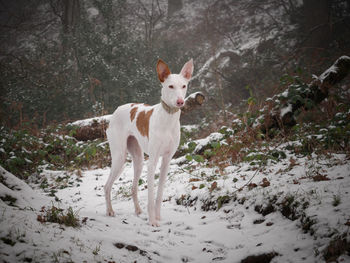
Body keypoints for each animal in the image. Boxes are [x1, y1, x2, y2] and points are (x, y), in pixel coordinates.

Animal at [104, 59, 194, 227]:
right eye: (170, 86)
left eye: (184, 86)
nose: (180, 102)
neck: (167, 120)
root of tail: (118, 109)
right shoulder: (152, 162)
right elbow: (151, 196)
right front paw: (152, 221)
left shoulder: (166, 161)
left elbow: (159, 194)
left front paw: (158, 217)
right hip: (119, 157)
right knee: (107, 186)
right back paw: (110, 211)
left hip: (138, 160)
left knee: (133, 188)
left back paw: (138, 210)